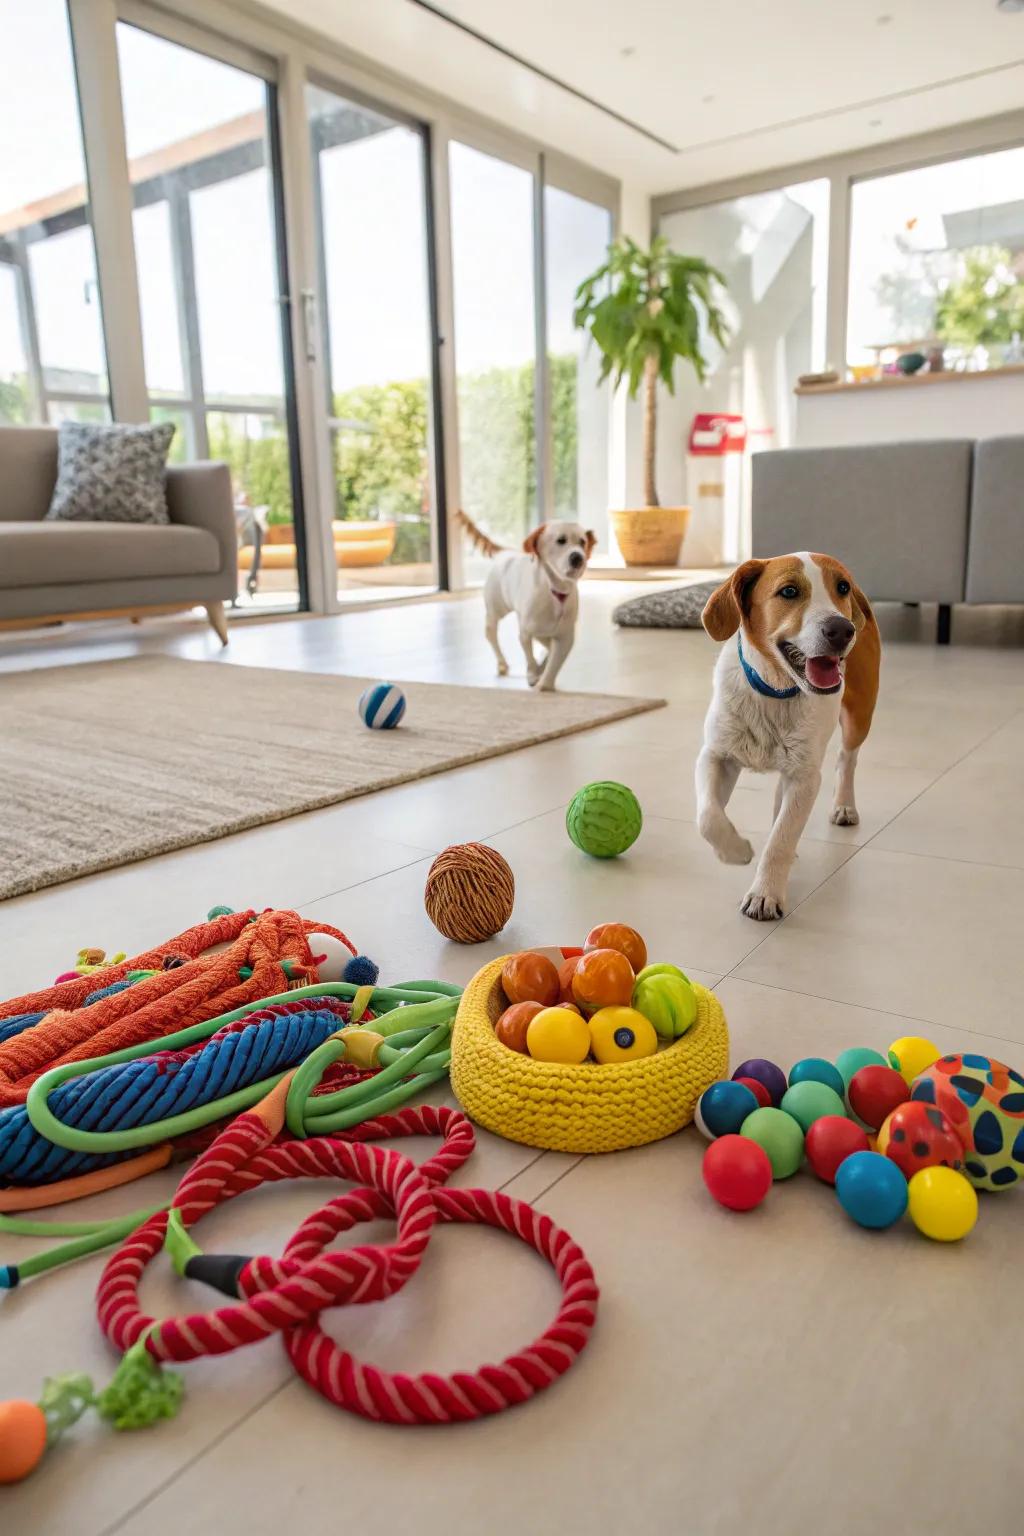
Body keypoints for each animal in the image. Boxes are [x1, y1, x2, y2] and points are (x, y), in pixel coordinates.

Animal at [457, 513, 595, 694]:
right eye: (561, 540)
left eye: (582, 542)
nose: (578, 557)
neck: (554, 591)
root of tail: (506, 552)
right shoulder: (526, 631)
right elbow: (529, 656)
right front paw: (533, 674)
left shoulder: (565, 636)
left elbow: (554, 661)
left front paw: (545, 682)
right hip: (496, 609)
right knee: (490, 633)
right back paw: (502, 662)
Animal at [696, 556, 884, 921]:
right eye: (789, 591)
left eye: (842, 587)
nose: (842, 629)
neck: (775, 691)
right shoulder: (716, 756)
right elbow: (708, 817)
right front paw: (736, 851)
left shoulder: (806, 777)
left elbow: (781, 840)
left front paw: (765, 894)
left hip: (859, 716)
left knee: (846, 759)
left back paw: (844, 805)